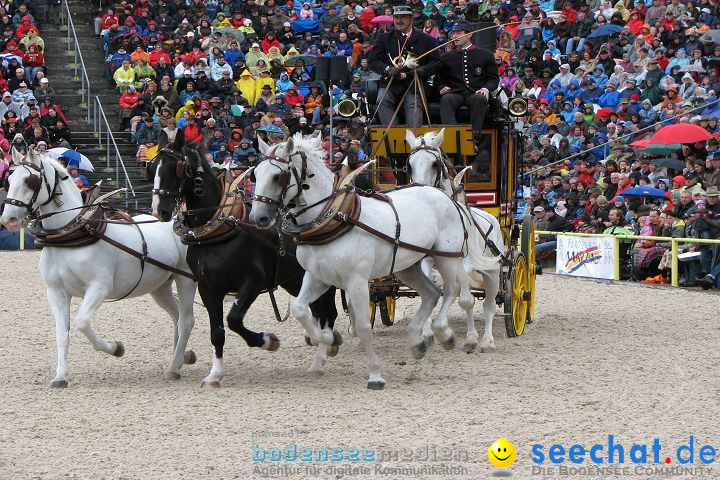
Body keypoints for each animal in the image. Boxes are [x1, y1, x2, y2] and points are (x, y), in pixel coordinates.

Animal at [0, 149, 197, 386]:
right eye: (9, 179)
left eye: (30, 181)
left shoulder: (99, 288)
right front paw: (60, 376)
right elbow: (61, 334)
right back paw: (183, 355)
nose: (8, 219)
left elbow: (82, 322)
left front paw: (116, 348)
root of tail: (178, 219)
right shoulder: (56, 292)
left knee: (186, 320)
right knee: (177, 316)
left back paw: (175, 366)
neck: (72, 235)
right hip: (159, 286)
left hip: (186, 279)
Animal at [150, 134, 340, 386]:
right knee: (318, 311)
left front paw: (267, 341)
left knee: (328, 314)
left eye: (176, 168)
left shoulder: (253, 282)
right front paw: (214, 375)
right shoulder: (208, 288)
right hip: (294, 280)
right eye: (152, 167)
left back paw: (320, 358)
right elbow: (217, 332)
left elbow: (233, 320)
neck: (218, 230)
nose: (159, 210)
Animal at [250, 133, 476, 388]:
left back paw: (444, 333)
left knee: (453, 290)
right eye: (255, 174)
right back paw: (417, 341)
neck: (333, 217)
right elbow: (300, 309)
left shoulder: (356, 281)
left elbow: (363, 326)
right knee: (431, 293)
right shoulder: (317, 277)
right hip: (408, 266)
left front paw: (375, 374)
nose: (258, 217)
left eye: (277, 176)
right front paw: (327, 343)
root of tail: (439, 194)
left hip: (446, 256)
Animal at [408, 129, 504, 354]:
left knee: (488, 305)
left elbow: (468, 300)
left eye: (434, 164)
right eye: (409, 164)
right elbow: (433, 291)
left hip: (493, 272)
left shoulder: (465, 263)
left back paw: (486, 341)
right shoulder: (428, 261)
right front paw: (427, 333)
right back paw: (471, 338)